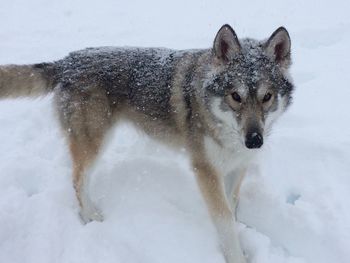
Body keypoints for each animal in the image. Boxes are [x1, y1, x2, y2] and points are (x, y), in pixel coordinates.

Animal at [0, 24, 292, 263]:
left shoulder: (236, 167)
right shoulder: (205, 170)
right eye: (235, 97)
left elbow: (230, 209)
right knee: (77, 179)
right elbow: (223, 219)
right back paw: (91, 217)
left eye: (267, 97)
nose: (254, 141)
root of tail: (66, 61)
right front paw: (236, 256)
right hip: (94, 144)